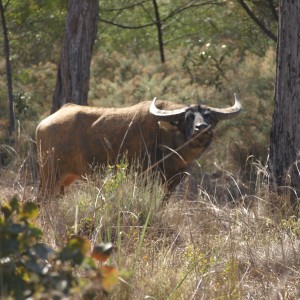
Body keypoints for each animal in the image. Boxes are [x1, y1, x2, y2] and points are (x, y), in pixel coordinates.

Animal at [35, 94, 241, 197]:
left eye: (209, 116)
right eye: (188, 117)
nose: (202, 128)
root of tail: (43, 125)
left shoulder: (173, 181)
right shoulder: (146, 178)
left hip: (66, 178)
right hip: (50, 176)